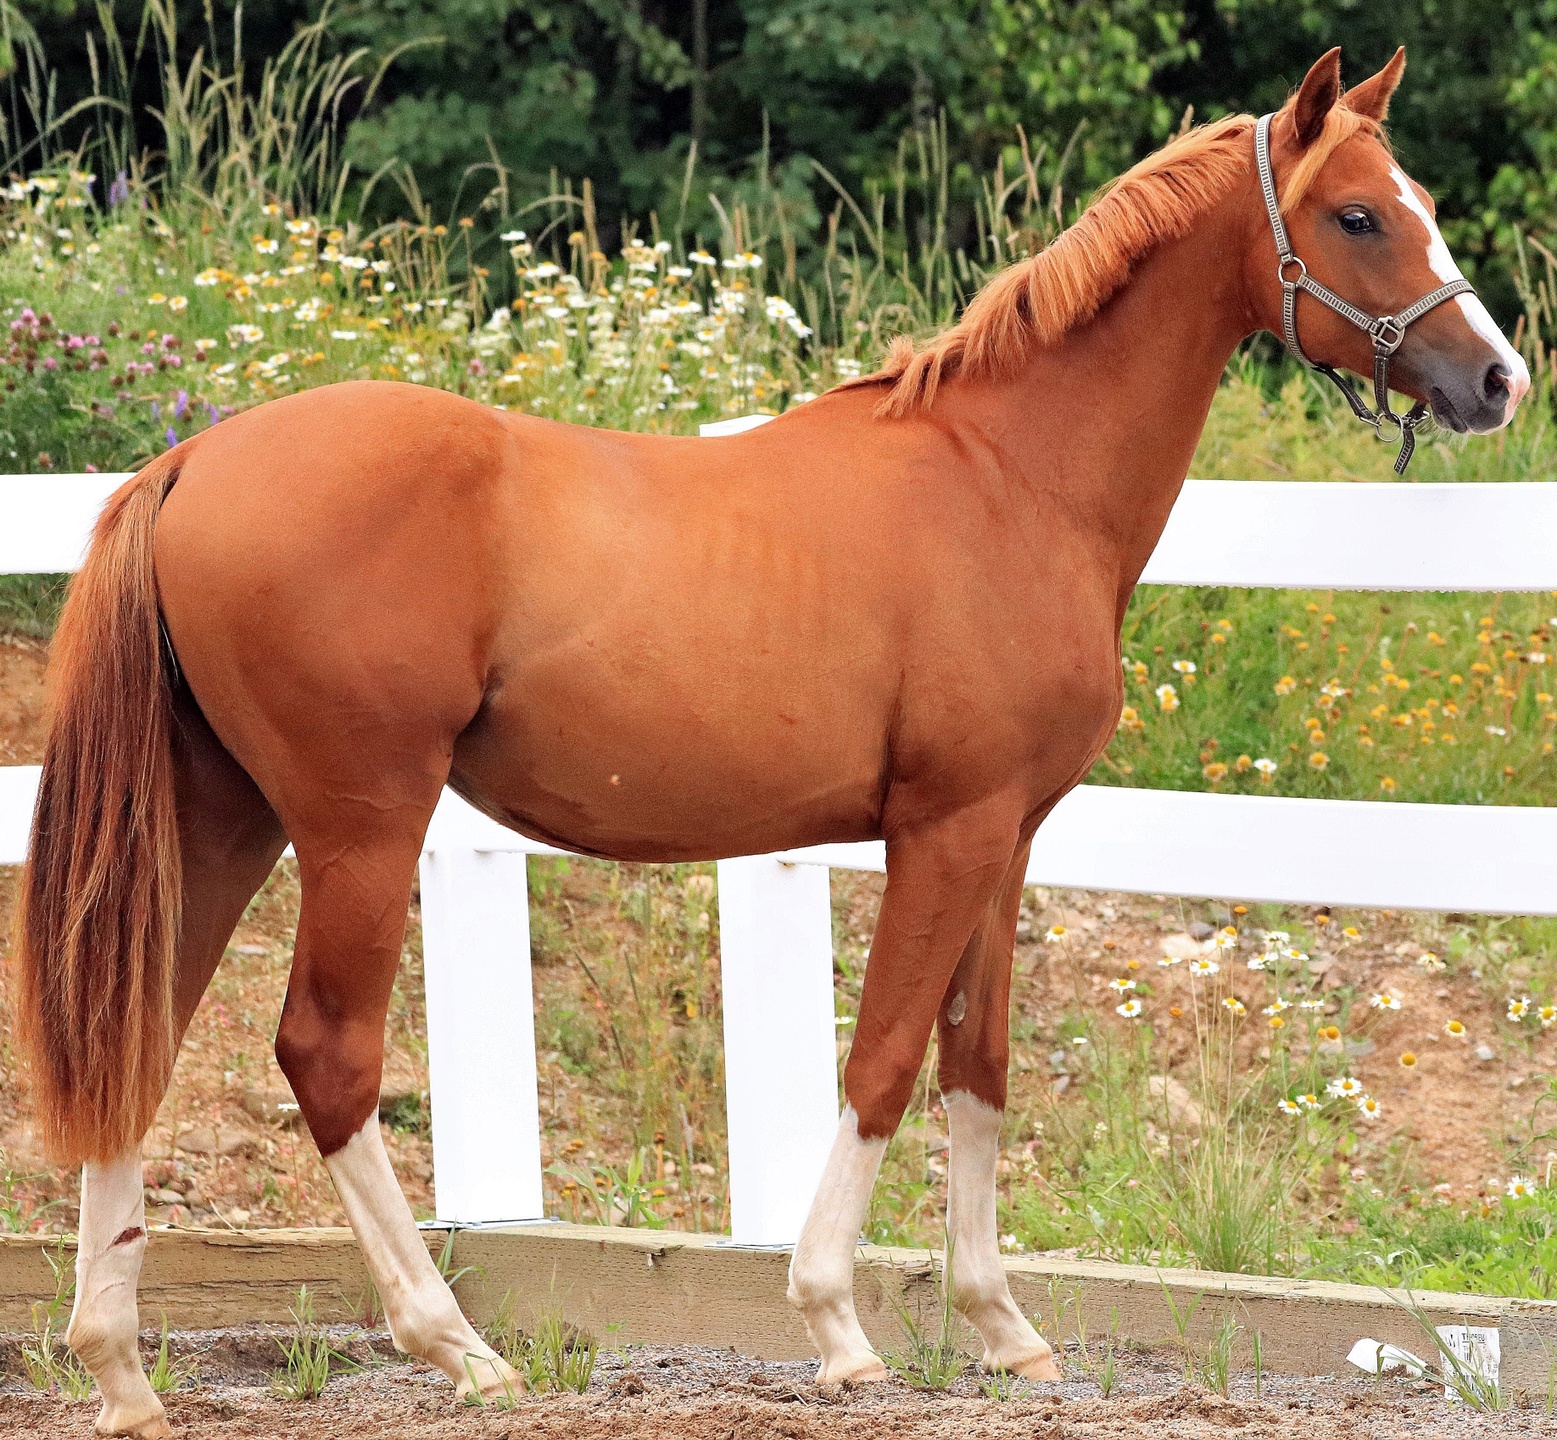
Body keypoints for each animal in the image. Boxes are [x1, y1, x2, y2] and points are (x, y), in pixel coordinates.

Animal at [12, 44, 1528, 1437]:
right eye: (1357, 215)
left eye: (1416, 203)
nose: (1498, 379)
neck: (1010, 477)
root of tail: (191, 461)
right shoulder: (944, 831)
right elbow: (885, 1061)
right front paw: (838, 1328)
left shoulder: (1006, 837)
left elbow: (979, 1064)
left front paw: (1003, 1328)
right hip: (358, 828)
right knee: (326, 1056)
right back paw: (459, 1349)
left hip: (225, 817)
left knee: (142, 1039)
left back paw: (120, 1370)